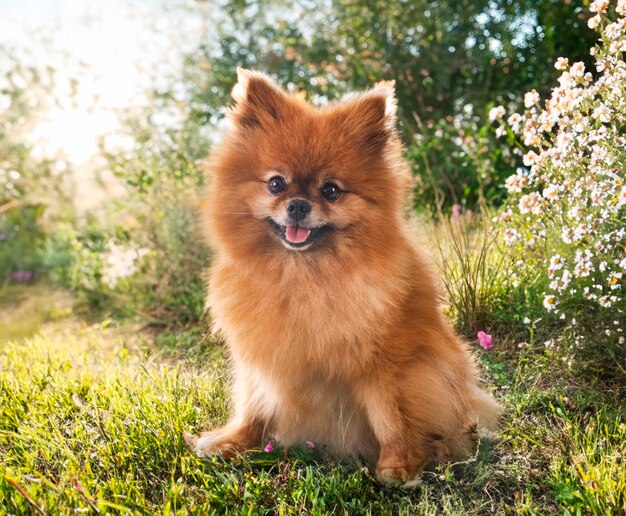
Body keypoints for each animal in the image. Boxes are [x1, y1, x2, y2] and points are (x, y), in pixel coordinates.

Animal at [183, 67, 500, 484]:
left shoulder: (390, 365)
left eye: (331, 190)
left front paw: (399, 464)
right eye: (276, 184)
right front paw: (233, 442)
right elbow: (253, 404)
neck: (302, 278)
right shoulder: (261, 356)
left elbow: (391, 415)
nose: (298, 205)